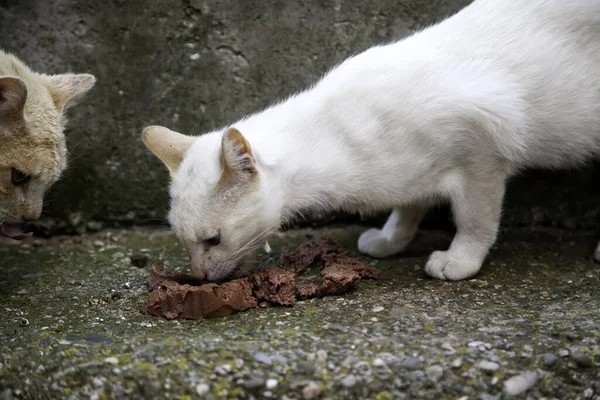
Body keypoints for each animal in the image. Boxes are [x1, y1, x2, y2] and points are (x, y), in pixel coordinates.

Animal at [144, 0, 600, 282]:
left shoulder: (481, 156)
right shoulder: (415, 172)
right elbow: (409, 205)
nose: (199, 278)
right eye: (184, 243)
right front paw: (392, 239)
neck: (335, 138)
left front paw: (461, 259)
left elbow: (476, 220)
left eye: (213, 240)